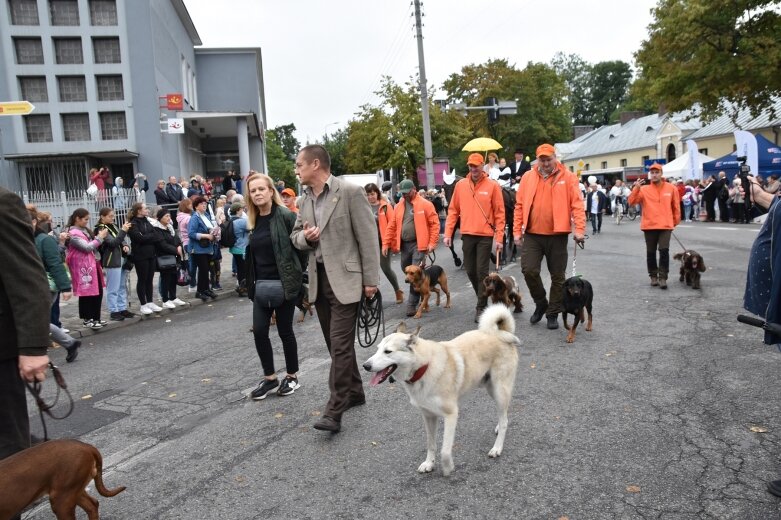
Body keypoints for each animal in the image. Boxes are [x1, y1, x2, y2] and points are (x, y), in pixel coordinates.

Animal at [362, 302, 516, 478]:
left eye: (388, 351)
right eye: (377, 349)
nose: (365, 366)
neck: (423, 367)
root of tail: (502, 333)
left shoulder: (451, 415)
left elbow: (445, 450)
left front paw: (448, 467)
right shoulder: (428, 416)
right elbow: (431, 444)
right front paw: (429, 463)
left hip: (499, 390)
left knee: (504, 421)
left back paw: (497, 448)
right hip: (491, 388)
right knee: (504, 415)